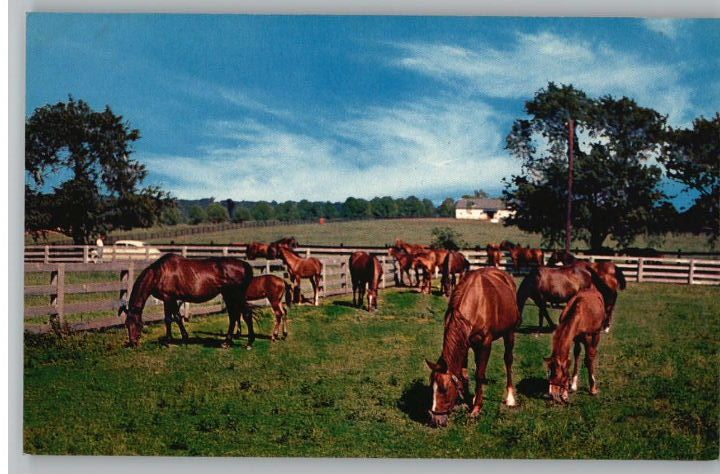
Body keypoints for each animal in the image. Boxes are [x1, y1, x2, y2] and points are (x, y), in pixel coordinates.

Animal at [117, 252, 253, 348]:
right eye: (126, 324)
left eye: (137, 324)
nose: (133, 343)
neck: (158, 273)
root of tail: (245, 265)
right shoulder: (170, 299)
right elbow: (173, 318)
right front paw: (177, 339)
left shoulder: (168, 298)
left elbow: (172, 318)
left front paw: (172, 340)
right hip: (228, 295)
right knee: (233, 316)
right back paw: (227, 342)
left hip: (236, 295)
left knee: (246, 314)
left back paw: (249, 343)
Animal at [424, 268, 520, 428]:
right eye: (431, 387)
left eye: (444, 389)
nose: (436, 420)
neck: (476, 303)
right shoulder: (465, 342)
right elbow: (465, 373)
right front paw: (465, 400)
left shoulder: (486, 343)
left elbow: (480, 374)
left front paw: (476, 409)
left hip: (509, 333)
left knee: (508, 360)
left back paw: (510, 398)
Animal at [544, 268, 612, 402]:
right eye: (549, 373)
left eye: (558, 374)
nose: (551, 394)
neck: (579, 313)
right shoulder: (575, 338)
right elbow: (575, 355)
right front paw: (571, 387)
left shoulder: (588, 337)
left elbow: (589, 358)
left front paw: (593, 388)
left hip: (596, 334)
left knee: (592, 353)